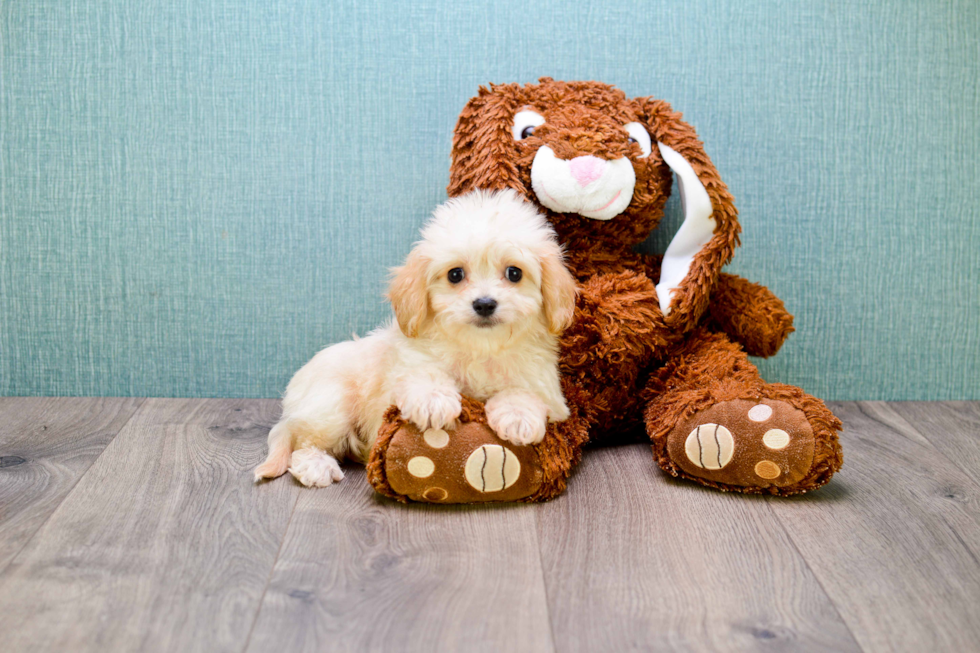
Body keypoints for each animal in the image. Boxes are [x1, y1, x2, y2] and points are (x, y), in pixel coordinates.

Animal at [253, 187, 580, 484]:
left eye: (514, 273)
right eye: (455, 275)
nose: (485, 304)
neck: (481, 348)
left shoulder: (545, 387)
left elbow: (525, 392)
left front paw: (517, 416)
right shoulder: (407, 366)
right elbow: (424, 374)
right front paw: (434, 402)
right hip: (331, 405)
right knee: (304, 443)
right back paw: (316, 465)